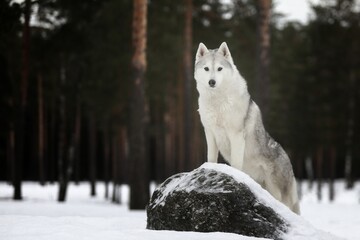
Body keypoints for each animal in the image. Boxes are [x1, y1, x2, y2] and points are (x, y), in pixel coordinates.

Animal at [195, 41, 300, 214]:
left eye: (219, 69)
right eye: (206, 69)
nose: (212, 82)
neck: (218, 102)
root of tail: (290, 165)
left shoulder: (236, 135)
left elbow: (236, 163)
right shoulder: (209, 133)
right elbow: (211, 158)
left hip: (279, 195)